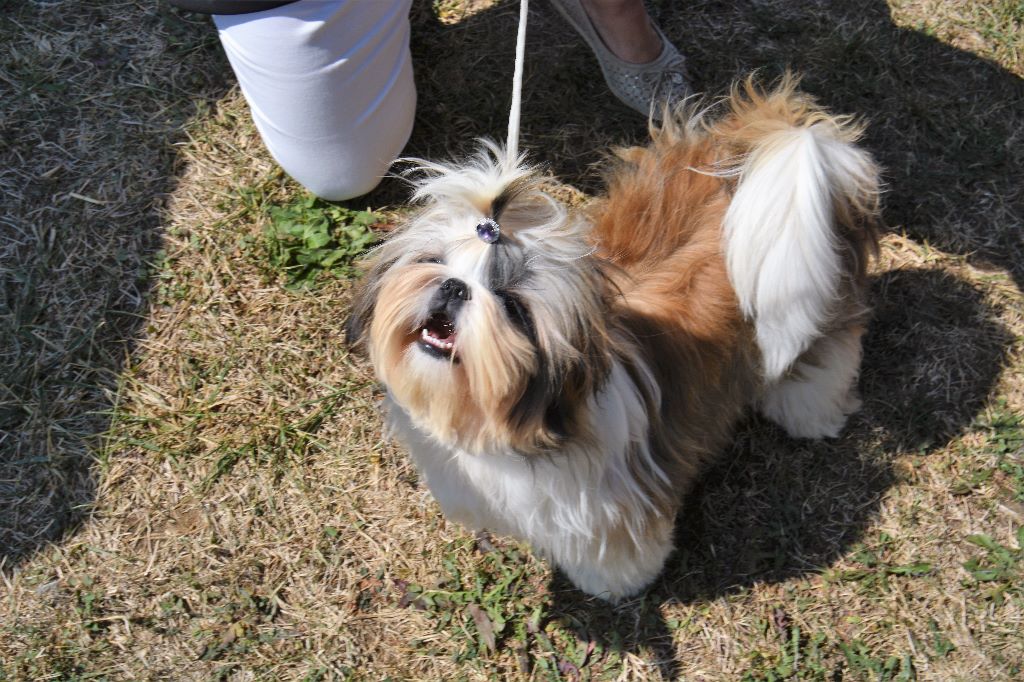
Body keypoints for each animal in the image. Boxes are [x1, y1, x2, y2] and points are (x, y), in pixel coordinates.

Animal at [346, 76, 880, 598]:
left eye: (512, 306)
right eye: (432, 261)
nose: (454, 287)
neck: (498, 422)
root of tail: (788, 143)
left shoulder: (613, 502)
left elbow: (618, 553)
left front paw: (616, 584)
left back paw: (812, 414)